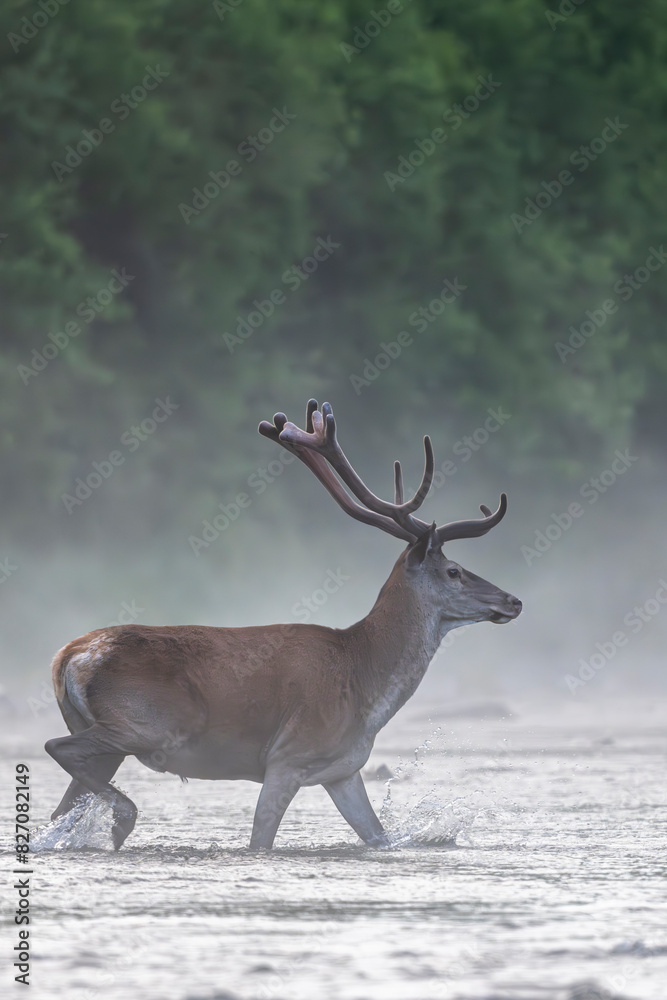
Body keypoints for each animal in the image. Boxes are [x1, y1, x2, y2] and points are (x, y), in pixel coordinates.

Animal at [45, 399, 522, 851]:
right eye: (454, 571)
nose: (512, 600)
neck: (365, 684)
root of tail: (69, 656)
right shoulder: (287, 757)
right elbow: (261, 839)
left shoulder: (343, 770)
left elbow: (377, 835)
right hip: (143, 725)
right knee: (56, 748)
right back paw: (123, 816)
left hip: (99, 730)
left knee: (59, 806)